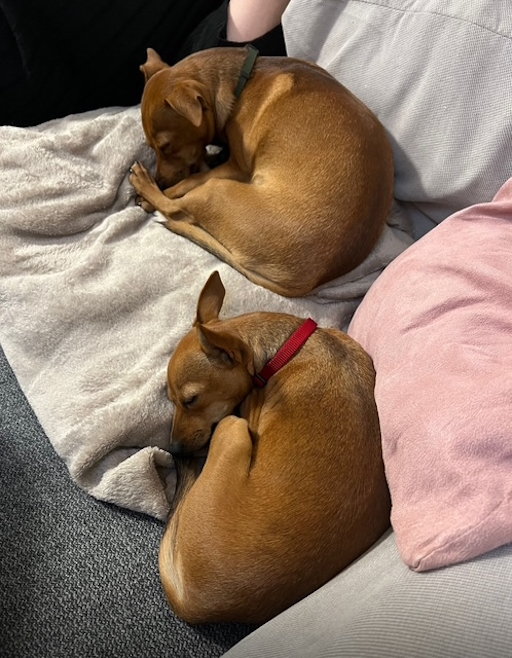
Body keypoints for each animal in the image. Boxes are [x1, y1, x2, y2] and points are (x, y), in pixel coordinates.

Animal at [129, 47, 394, 297]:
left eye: (166, 146)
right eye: (152, 146)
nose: (160, 179)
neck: (241, 83)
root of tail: (301, 284)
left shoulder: (237, 169)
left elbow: (188, 182)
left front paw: (158, 189)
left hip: (216, 190)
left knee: (176, 208)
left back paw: (145, 185)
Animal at [159, 271, 391, 624]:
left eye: (191, 400)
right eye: (170, 399)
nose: (175, 448)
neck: (287, 350)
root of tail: (194, 605)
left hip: (231, 429)